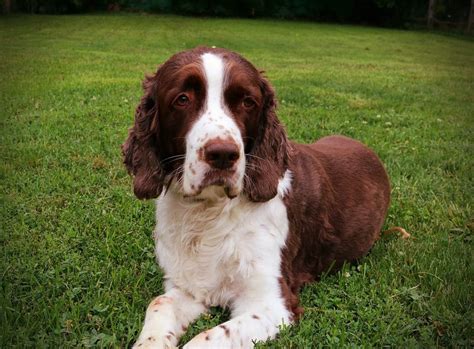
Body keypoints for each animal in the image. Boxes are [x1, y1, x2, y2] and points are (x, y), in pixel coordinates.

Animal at [121, 47, 388, 348]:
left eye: (248, 102)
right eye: (182, 99)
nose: (223, 154)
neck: (210, 213)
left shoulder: (272, 304)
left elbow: (206, 339)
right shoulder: (187, 285)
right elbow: (160, 303)